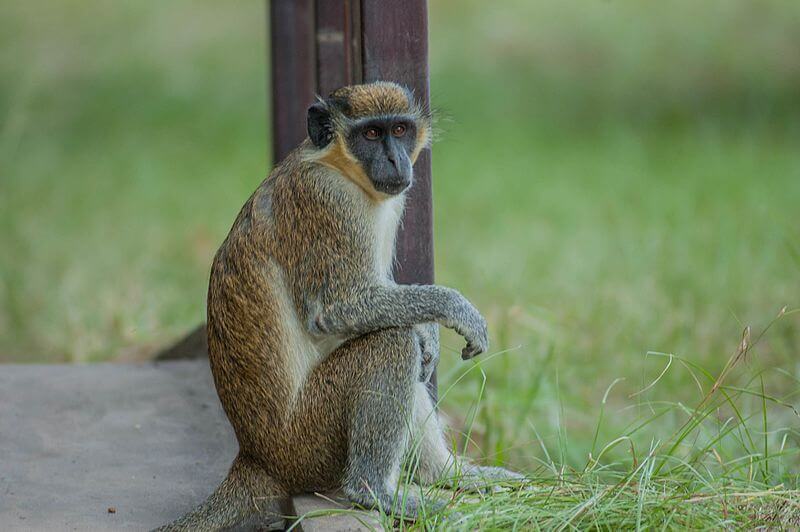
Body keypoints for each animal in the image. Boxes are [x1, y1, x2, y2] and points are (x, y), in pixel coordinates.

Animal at [156, 81, 521, 531]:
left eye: (399, 130)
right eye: (371, 134)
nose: (395, 159)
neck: (339, 167)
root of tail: (256, 457)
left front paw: (429, 329)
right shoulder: (327, 201)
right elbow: (335, 310)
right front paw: (451, 308)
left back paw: (448, 475)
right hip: (307, 443)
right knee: (391, 342)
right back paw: (373, 490)